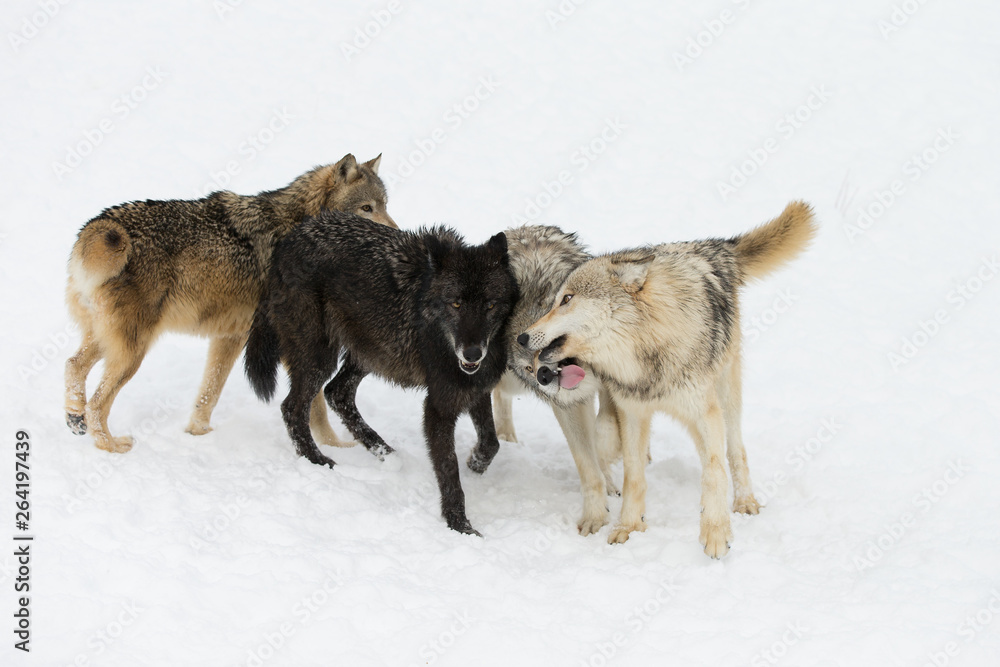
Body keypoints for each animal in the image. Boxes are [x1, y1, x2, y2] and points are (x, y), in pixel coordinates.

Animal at [65, 154, 394, 454]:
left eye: (385, 205)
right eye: (366, 208)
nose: (393, 232)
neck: (300, 225)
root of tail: (98, 226)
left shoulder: (230, 336)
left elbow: (210, 392)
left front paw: (198, 432)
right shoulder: (289, 344)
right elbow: (315, 406)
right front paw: (336, 446)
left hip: (113, 343)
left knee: (73, 366)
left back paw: (74, 418)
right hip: (133, 352)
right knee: (97, 403)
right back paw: (110, 446)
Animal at [243, 211, 518, 535]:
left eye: (489, 305)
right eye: (456, 303)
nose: (472, 353)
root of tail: (288, 241)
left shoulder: (477, 389)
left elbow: (492, 442)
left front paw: (475, 463)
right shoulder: (438, 406)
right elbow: (449, 472)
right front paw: (460, 526)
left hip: (371, 353)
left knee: (337, 393)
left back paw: (386, 453)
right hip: (321, 358)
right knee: (293, 407)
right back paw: (318, 460)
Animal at [493, 225, 622, 536]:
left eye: (547, 346)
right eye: (528, 367)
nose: (542, 376)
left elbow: (607, 424)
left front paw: (607, 450)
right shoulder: (569, 404)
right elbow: (587, 467)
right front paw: (595, 517)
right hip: (509, 380)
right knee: (498, 394)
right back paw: (506, 437)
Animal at [519, 201, 816, 558]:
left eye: (567, 299)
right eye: (554, 301)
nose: (522, 337)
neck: (647, 351)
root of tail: (714, 246)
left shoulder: (704, 413)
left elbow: (714, 472)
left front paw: (716, 534)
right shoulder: (633, 413)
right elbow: (633, 475)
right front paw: (628, 527)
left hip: (725, 397)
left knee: (734, 450)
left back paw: (745, 501)